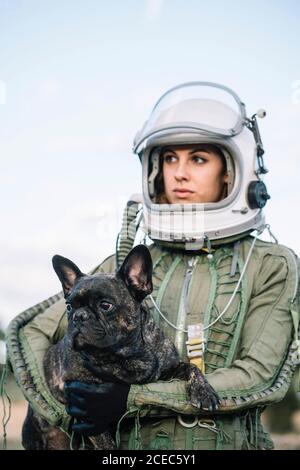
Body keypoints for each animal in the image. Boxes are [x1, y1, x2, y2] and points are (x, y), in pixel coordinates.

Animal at [21, 244, 218, 450]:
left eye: (105, 305)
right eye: (68, 307)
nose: (79, 316)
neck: (128, 352)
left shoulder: (168, 370)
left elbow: (191, 367)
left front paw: (204, 392)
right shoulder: (87, 412)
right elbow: (106, 443)